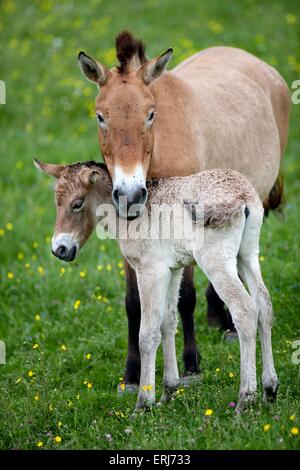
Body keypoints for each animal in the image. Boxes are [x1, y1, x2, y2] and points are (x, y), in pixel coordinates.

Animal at [34, 160, 278, 414]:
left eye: (77, 204)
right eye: (57, 203)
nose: (59, 249)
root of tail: (242, 196)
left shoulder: (150, 271)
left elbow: (147, 334)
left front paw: (143, 404)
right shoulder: (173, 269)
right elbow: (167, 323)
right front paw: (168, 393)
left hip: (216, 262)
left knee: (245, 310)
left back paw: (244, 400)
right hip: (247, 256)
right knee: (264, 305)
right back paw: (270, 390)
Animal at [78, 30, 290, 390]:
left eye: (150, 114)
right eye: (100, 116)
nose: (130, 195)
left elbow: (185, 298)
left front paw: (191, 365)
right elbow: (133, 304)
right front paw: (132, 374)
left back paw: (229, 326)